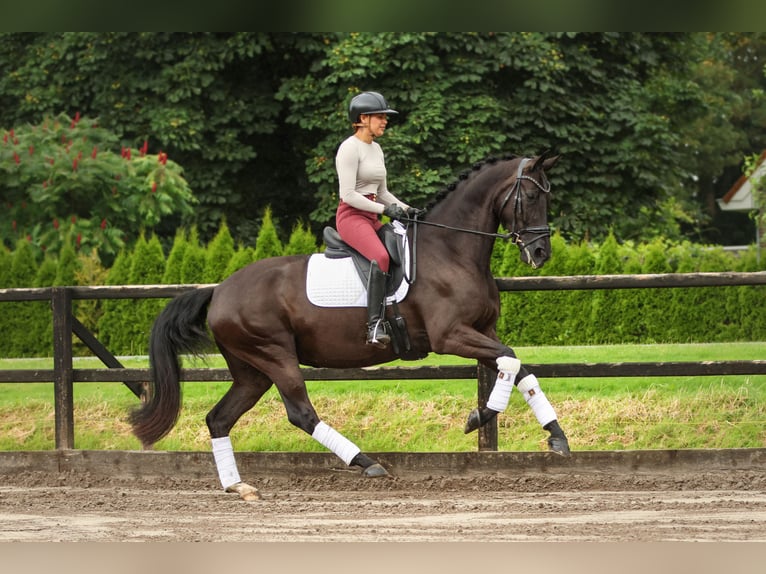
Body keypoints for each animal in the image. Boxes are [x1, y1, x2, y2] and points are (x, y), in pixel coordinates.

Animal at [132, 153, 568, 500]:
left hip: (251, 371)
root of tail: (219, 290)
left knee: (219, 419)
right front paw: (479, 417)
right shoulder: (451, 336)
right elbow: (509, 361)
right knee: (301, 413)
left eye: (549, 198)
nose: (541, 252)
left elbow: (519, 368)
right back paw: (367, 462)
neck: (451, 251)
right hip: (273, 355)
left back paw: (238, 486)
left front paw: (557, 437)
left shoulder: (484, 332)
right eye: (532, 197)